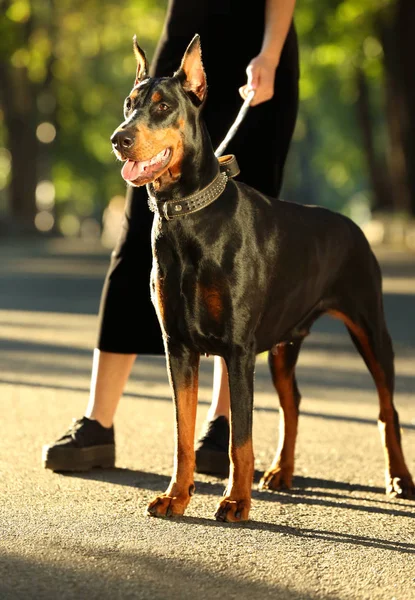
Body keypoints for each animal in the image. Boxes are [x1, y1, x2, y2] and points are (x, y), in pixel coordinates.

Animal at [109, 35, 412, 520]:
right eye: (128, 104)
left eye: (162, 106)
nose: (120, 139)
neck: (189, 216)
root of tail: (354, 225)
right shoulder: (177, 345)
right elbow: (181, 432)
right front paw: (177, 496)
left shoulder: (238, 348)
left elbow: (241, 437)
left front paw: (235, 500)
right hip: (286, 342)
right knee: (294, 403)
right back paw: (282, 471)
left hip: (370, 327)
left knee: (388, 409)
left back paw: (399, 478)